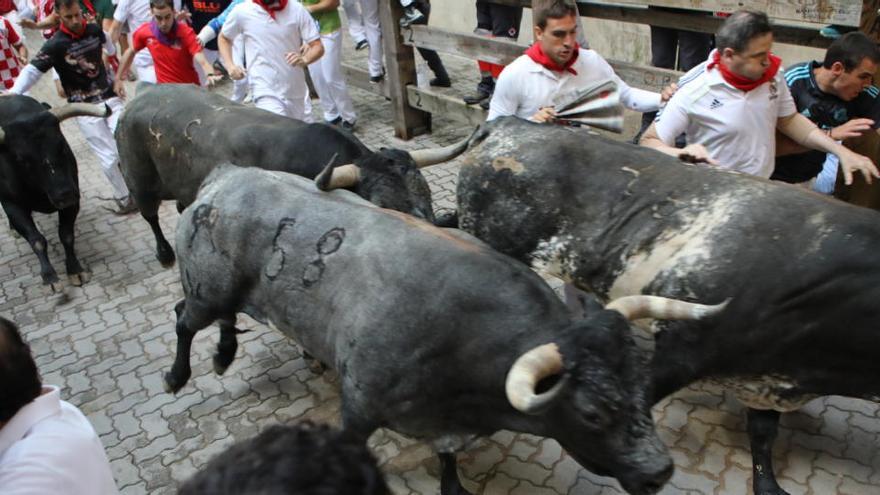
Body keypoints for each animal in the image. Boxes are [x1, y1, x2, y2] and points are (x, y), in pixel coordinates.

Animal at [117, 83, 468, 268]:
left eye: (427, 197)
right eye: (382, 205)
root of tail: (145, 91)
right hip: (139, 180)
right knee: (150, 215)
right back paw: (165, 254)